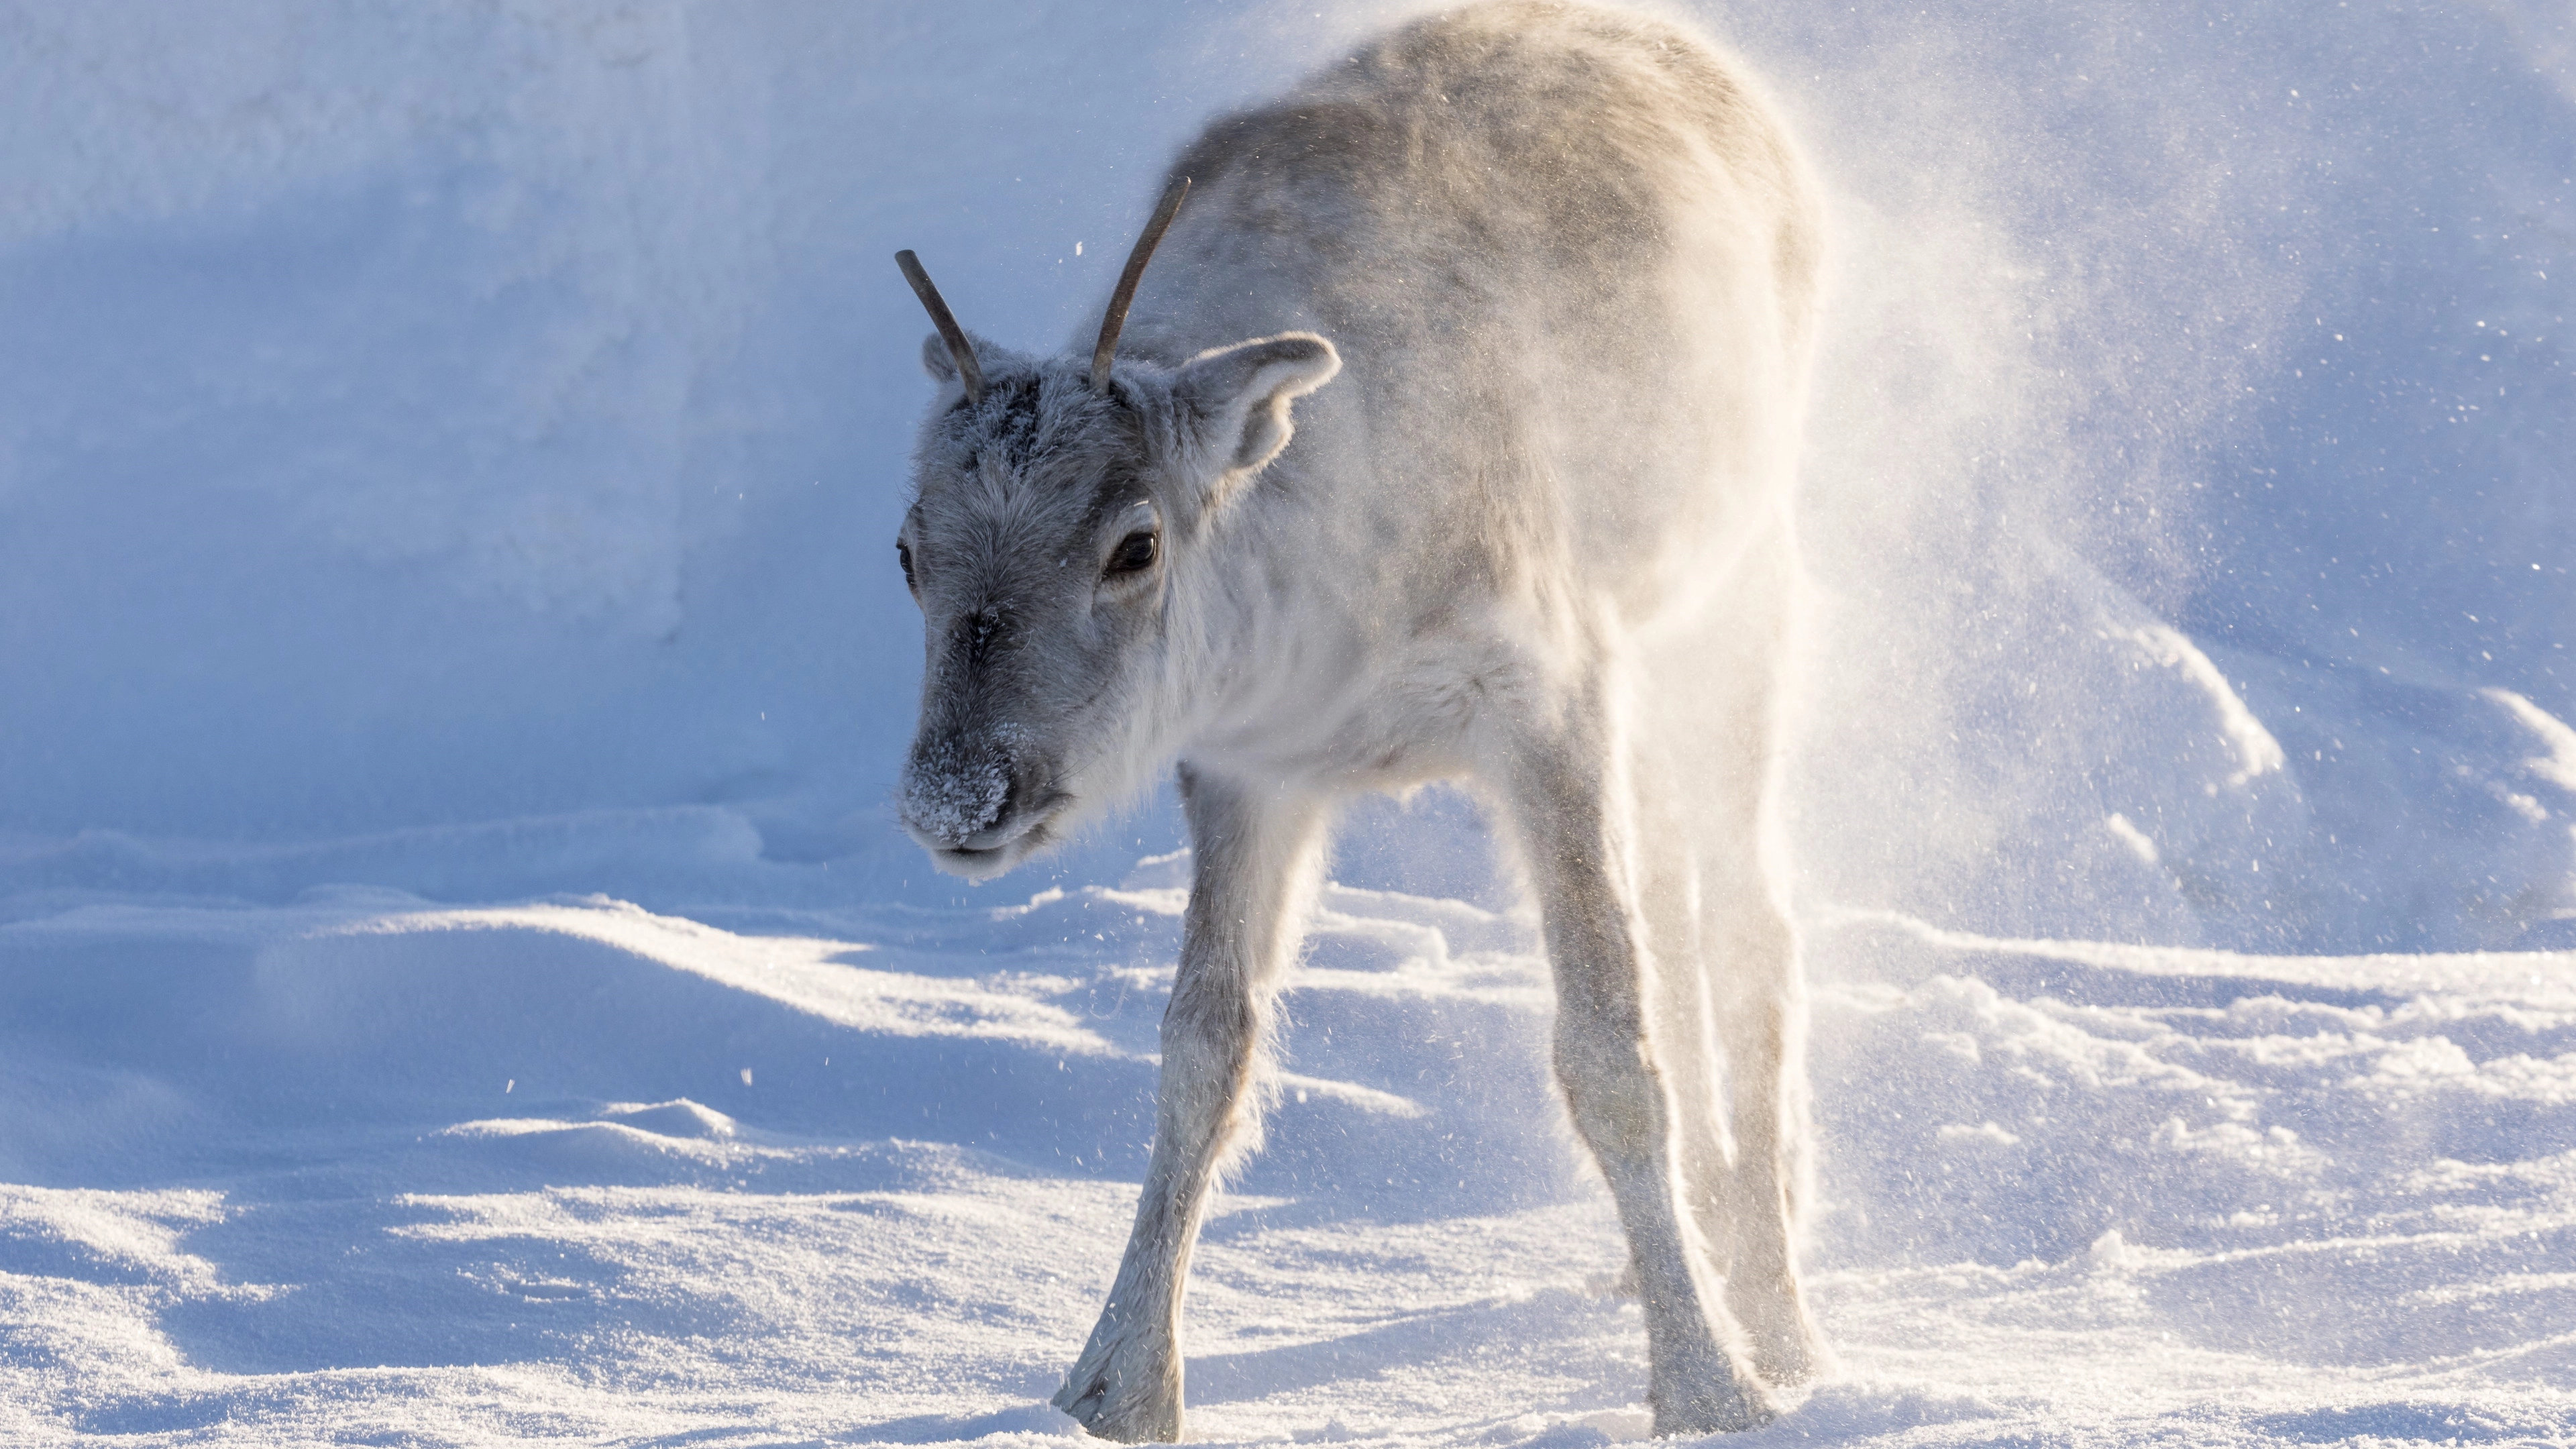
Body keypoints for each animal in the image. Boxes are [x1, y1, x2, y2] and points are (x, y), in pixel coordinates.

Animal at [885, 2, 1826, 1438]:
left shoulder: (1549, 694)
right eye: (906, 552)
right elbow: (1202, 1055)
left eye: (1134, 545)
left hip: (1737, 598)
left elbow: (1609, 1049)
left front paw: (1710, 1383)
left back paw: (1776, 1312)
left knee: (1748, 925)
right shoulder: (1247, 771)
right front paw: (1115, 1387)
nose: (955, 797)